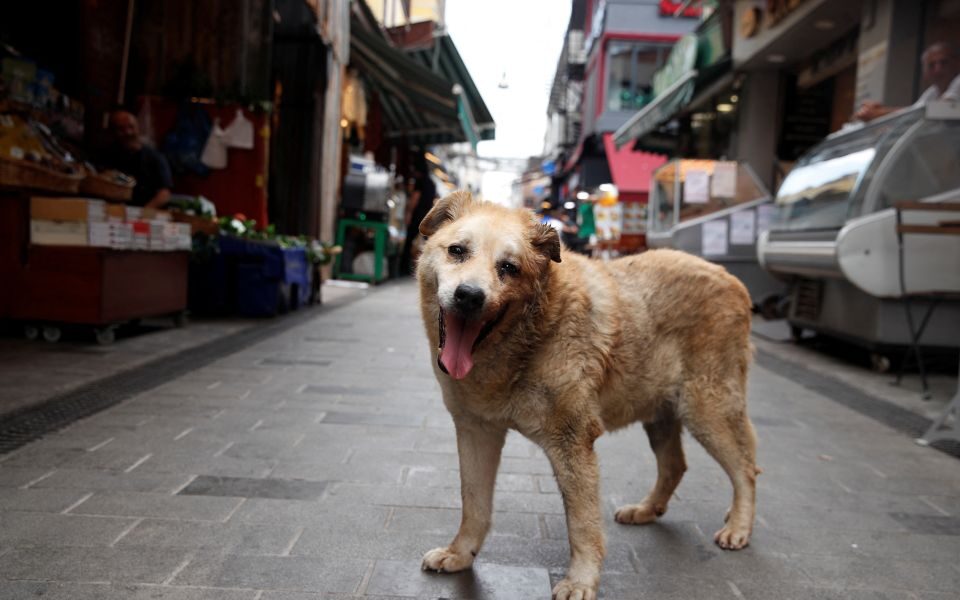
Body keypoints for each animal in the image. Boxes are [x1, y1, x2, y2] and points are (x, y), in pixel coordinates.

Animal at [416, 193, 760, 600]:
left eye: (508, 268)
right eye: (457, 251)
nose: (469, 297)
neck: (531, 334)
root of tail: (731, 279)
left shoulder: (573, 441)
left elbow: (582, 524)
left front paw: (581, 581)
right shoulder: (476, 430)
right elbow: (474, 503)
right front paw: (460, 553)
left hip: (707, 411)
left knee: (746, 468)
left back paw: (739, 526)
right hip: (661, 413)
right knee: (675, 465)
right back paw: (647, 510)